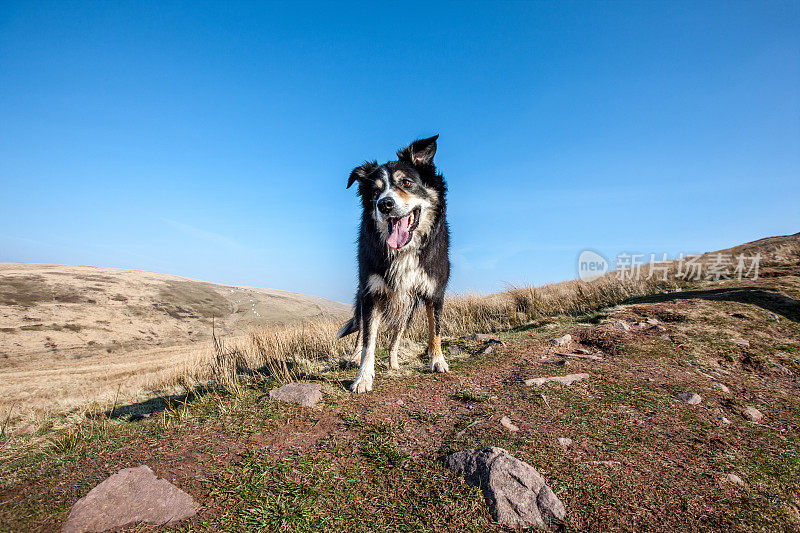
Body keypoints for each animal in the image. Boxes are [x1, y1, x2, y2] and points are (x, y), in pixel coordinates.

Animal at [338, 134, 450, 390]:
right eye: (376, 192)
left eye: (406, 183)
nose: (384, 204)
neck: (405, 251)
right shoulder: (371, 293)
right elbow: (368, 340)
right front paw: (362, 378)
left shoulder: (434, 291)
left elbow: (435, 330)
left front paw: (438, 362)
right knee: (361, 332)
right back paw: (353, 358)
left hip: (406, 308)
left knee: (396, 337)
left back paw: (394, 363)